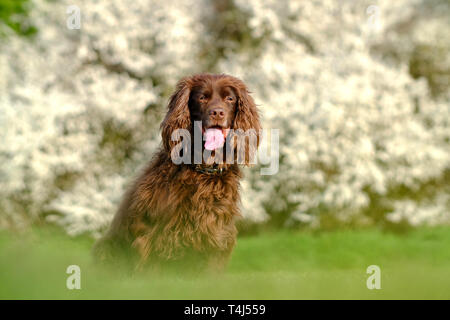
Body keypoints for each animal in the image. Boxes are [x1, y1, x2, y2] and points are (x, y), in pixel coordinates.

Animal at [93, 74, 262, 272]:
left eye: (230, 98)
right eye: (202, 97)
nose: (217, 113)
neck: (203, 170)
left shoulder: (216, 235)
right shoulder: (150, 235)